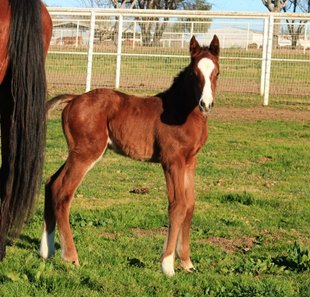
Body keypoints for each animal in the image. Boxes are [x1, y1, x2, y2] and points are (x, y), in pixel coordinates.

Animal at [40, 35, 220, 276]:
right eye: (194, 73)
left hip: (76, 151)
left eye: (216, 72)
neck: (181, 112)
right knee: (62, 191)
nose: (206, 104)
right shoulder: (172, 161)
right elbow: (177, 205)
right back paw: (71, 257)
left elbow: (190, 205)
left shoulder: (190, 162)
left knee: (50, 183)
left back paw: (46, 250)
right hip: (86, 153)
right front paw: (167, 265)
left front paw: (187, 263)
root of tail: (74, 98)